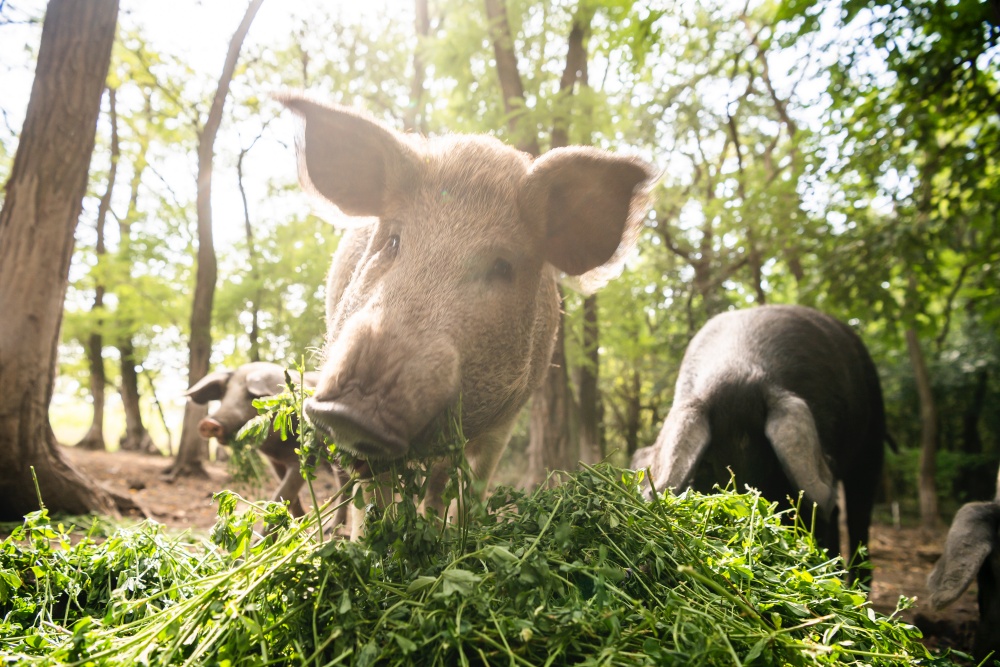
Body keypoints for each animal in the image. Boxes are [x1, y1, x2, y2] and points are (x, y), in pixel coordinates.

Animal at [184, 362, 352, 524]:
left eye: (251, 396)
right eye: (225, 394)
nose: (209, 422)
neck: (277, 448)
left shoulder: (305, 458)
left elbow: (282, 493)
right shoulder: (275, 462)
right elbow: (291, 497)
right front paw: (299, 522)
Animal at [278, 95, 660, 532]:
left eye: (503, 267)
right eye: (393, 240)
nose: (349, 411)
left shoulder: (506, 423)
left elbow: (468, 489)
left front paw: (455, 535)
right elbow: (372, 498)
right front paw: (370, 540)